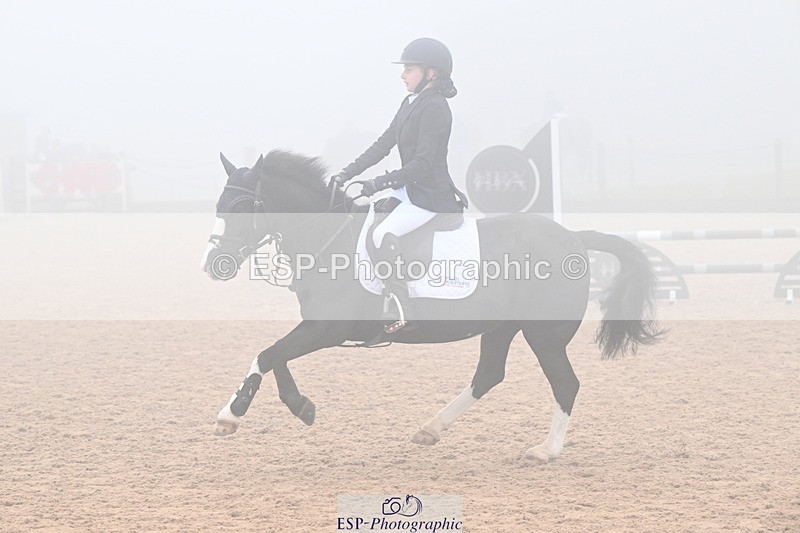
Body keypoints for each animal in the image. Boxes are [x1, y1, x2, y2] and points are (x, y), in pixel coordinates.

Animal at [200, 149, 661, 461]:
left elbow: (266, 355)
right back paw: (430, 428)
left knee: (565, 383)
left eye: (240, 207)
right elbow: (275, 355)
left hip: (544, 335)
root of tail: (574, 238)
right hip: (501, 327)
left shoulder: (327, 328)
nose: (213, 265)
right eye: (219, 206)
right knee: (488, 375)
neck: (327, 239)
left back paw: (545, 451)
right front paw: (303, 406)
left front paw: (230, 415)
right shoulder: (316, 327)